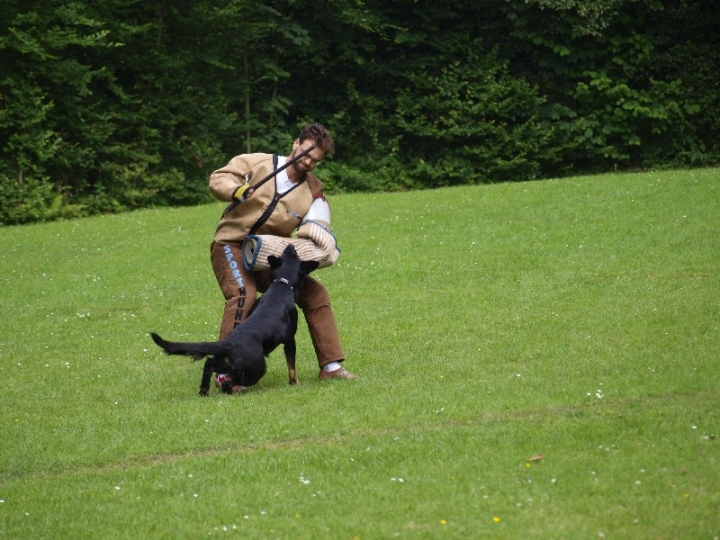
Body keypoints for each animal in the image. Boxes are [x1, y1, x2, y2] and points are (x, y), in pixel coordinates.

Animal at [150, 247, 318, 394]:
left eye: (286, 252)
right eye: (294, 253)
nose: (290, 245)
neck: (282, 285)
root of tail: (227, 344)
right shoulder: (290, 339)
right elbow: (291, 366)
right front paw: (295, 383)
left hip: (223, 363)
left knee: (209, 364)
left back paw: (204, 390)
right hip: (255, 370)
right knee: (230, 383)